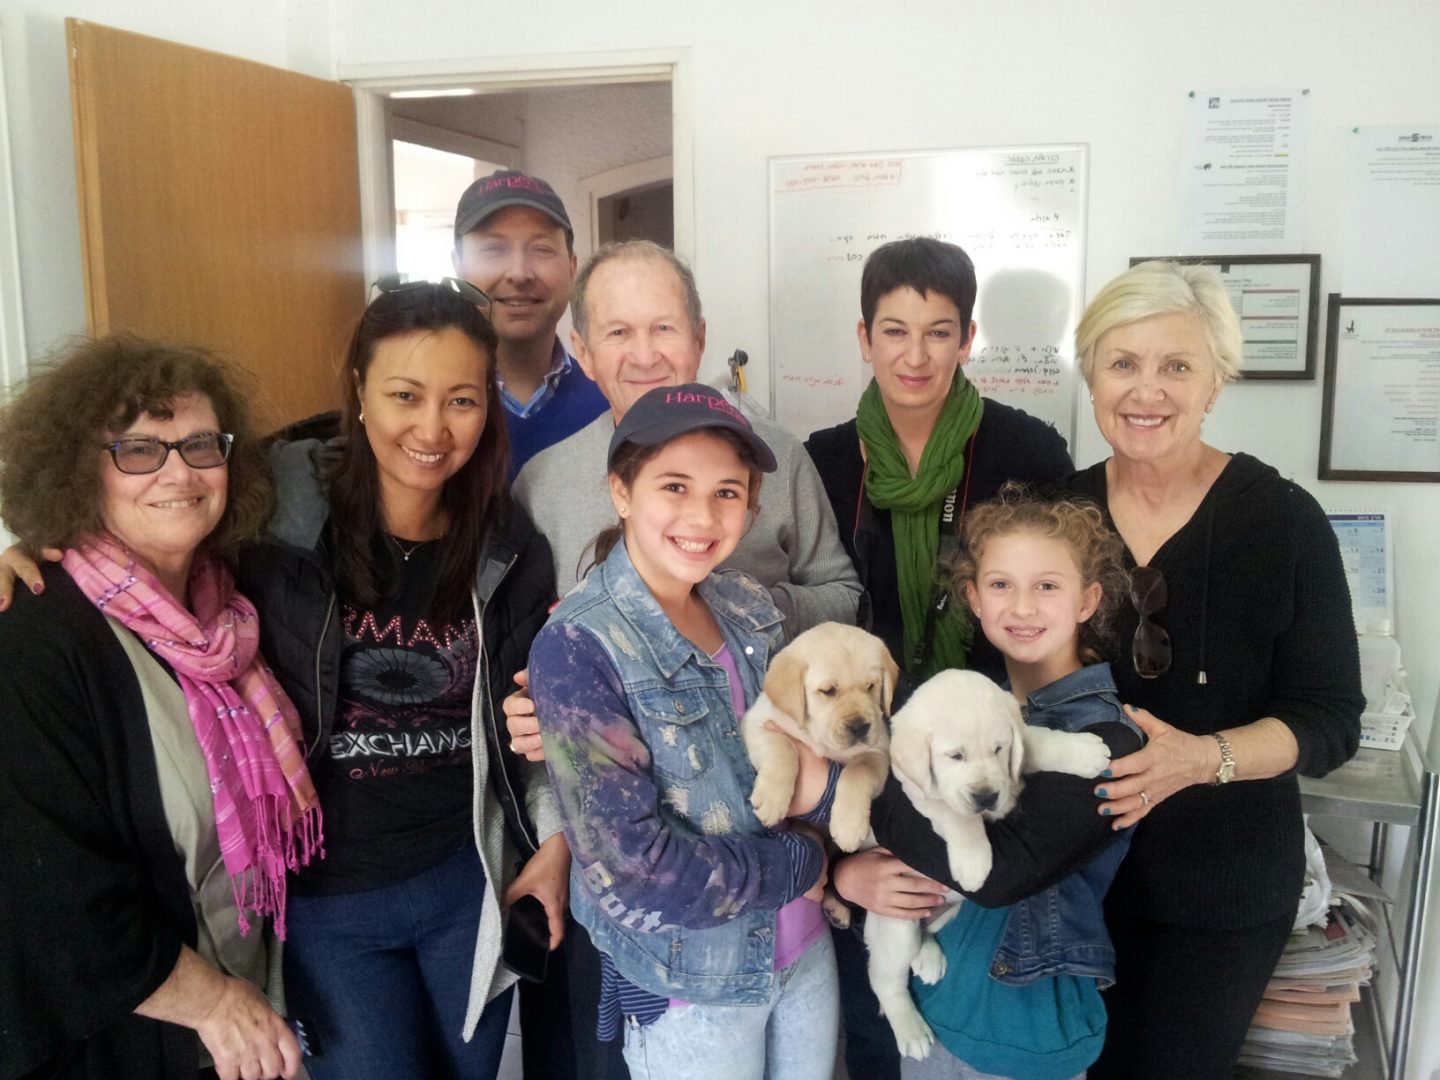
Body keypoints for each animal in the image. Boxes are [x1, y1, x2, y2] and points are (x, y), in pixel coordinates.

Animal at [748, 624, 892, 852]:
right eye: (829, 691)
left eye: (870, 686)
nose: (860, 727)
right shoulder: (756, 722)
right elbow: (783, 746)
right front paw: (772, 798)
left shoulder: (878, 751)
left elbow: (858, 770)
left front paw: (849, 827)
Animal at [864, 673, 1111, 1059]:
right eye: (955, 756)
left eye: (998, 749)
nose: (986, 796)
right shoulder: (919, 793)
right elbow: (957, 815)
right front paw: (974, 862)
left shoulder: (1018, 742)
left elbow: (1035, 741)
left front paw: (1084, 752)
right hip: (895, 924)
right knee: (884, 979)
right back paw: (910, 1030)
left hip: (942, 912)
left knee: (925, 931)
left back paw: (927, 958)